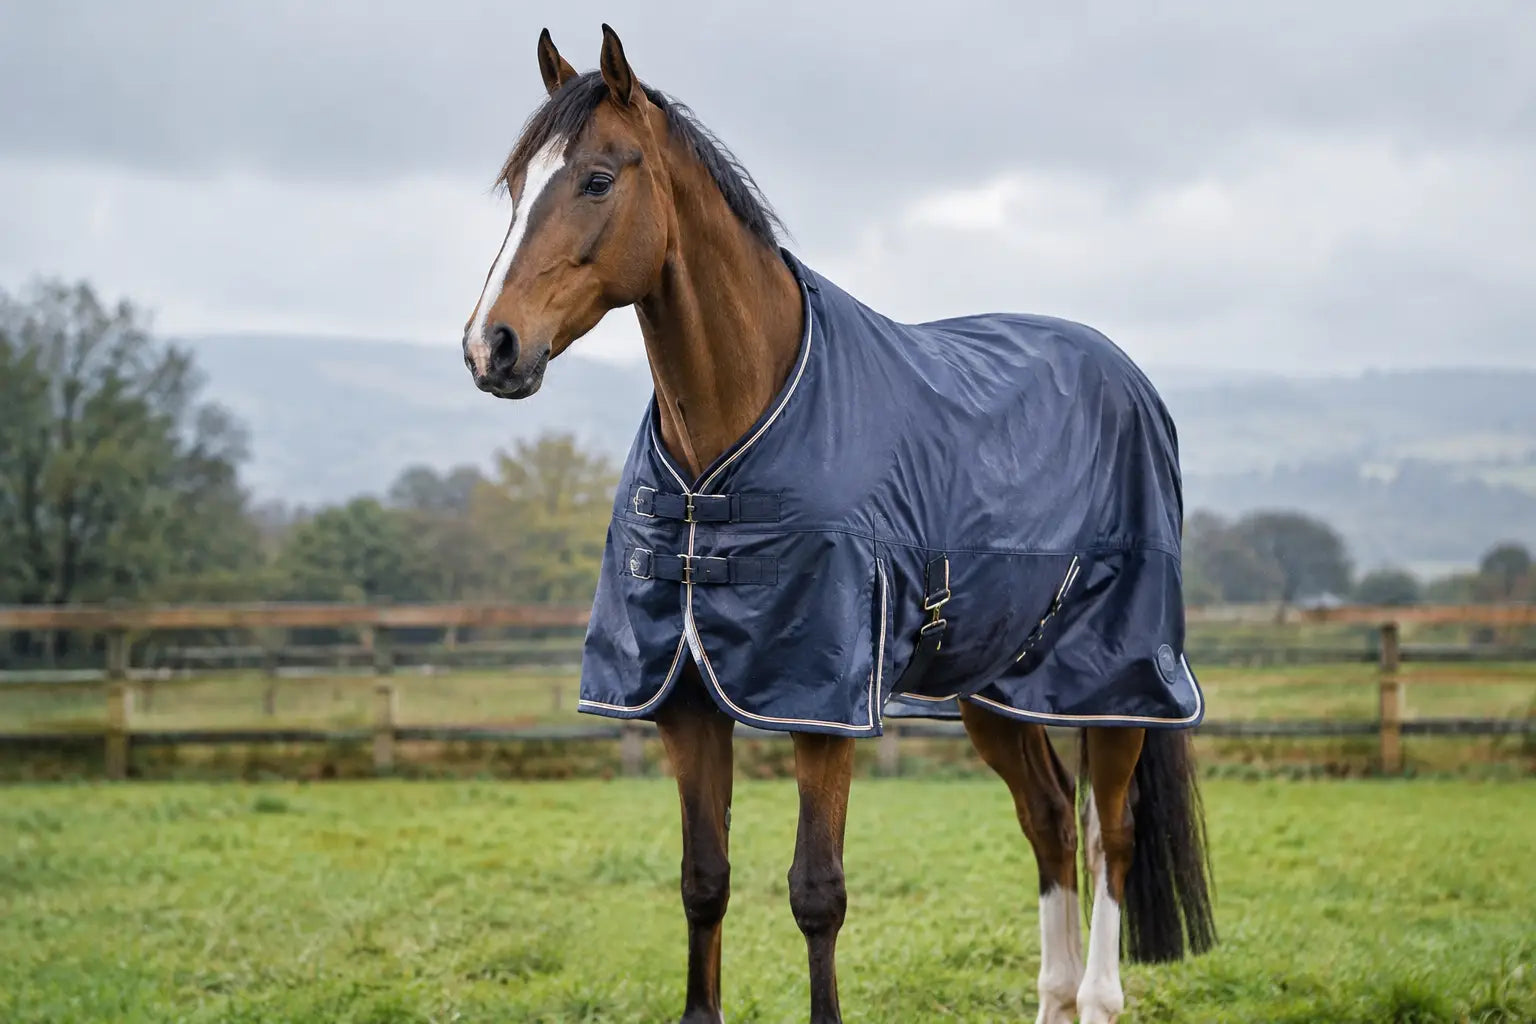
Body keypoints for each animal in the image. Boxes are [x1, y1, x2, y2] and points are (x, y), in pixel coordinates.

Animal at [459, 25, 1215, 1024]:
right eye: (515, 186)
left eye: (595, 179)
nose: (490, 346)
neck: (726, 447)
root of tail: (1126, 376)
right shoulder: (685, 702)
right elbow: (704, 880)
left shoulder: (821, 707)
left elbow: (816, 892)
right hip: (997, 686)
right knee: (1050, 820)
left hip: (1118, 682)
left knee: (1110, 837)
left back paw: (1094, 996)